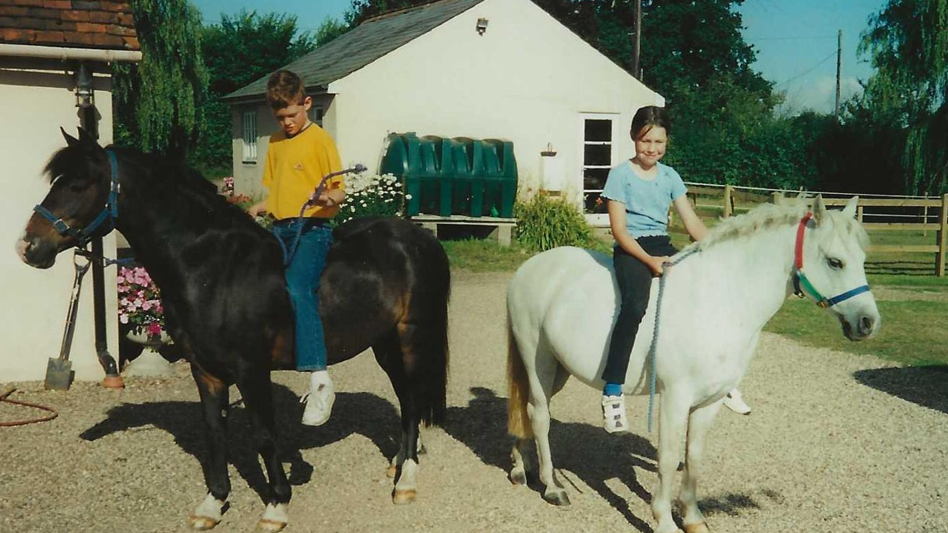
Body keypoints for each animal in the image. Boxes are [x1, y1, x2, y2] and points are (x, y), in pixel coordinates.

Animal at [16, 130, 450, 532]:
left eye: (78, 184)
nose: (28, 247)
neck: (213, 268)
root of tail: (418, 236)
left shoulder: (251, 369)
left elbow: (263, 434)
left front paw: (276, 505)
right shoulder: (205, 370)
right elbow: (214, 432)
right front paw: (213, 503)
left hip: (411, 336)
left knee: (413, 400)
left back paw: (406, 481)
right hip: (385, 342)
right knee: (406, 399)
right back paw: (398, 463)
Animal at [504, 195, 880, 532]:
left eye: (862, 258)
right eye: (835, 262)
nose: (868, 322)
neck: (720, 299)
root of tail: (530, 268)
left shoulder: (709, 401)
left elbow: (694, 455)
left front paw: (693, 518)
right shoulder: (675, 398)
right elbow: (669, 457)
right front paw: (664, 521)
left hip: (559, 368)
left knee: (528, 410)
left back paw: (520, 468)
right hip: (538, 360)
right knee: (539, 415)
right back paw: (552, 487)